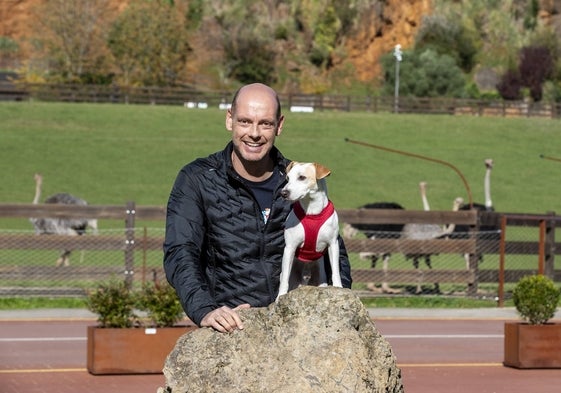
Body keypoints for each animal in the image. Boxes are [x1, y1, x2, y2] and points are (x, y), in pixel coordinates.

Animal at [276, 160, 342, 300]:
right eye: (287, 178)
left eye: (302, 177)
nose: (283, 193)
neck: (312, 212)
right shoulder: (289, 248)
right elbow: (284, 280)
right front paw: (280, 296)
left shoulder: (333, 244)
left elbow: (335, 270)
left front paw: (339, 287)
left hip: (320, 276)